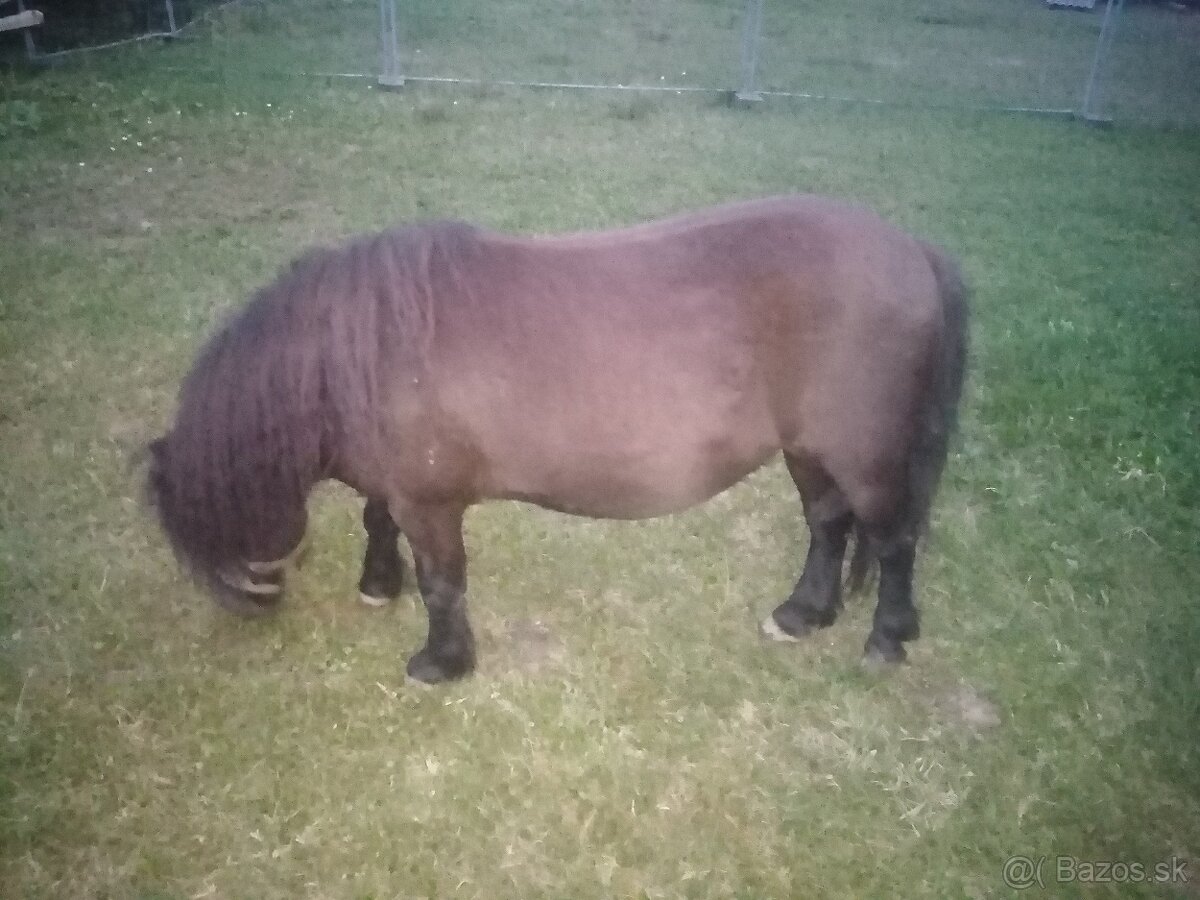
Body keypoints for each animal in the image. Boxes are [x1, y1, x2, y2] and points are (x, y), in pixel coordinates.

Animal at [145, 195, 968, 683]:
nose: (251, 607)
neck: (361, 345)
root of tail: (914, 251)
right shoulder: (399, 483)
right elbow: (377, 520)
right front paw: (379, 585)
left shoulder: (431, 503)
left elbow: (443, 581)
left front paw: (442, 661)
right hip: (808, 451)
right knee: (828, 525)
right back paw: (803, 614)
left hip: (864, 455)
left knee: (893, 540)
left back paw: (887, 638)